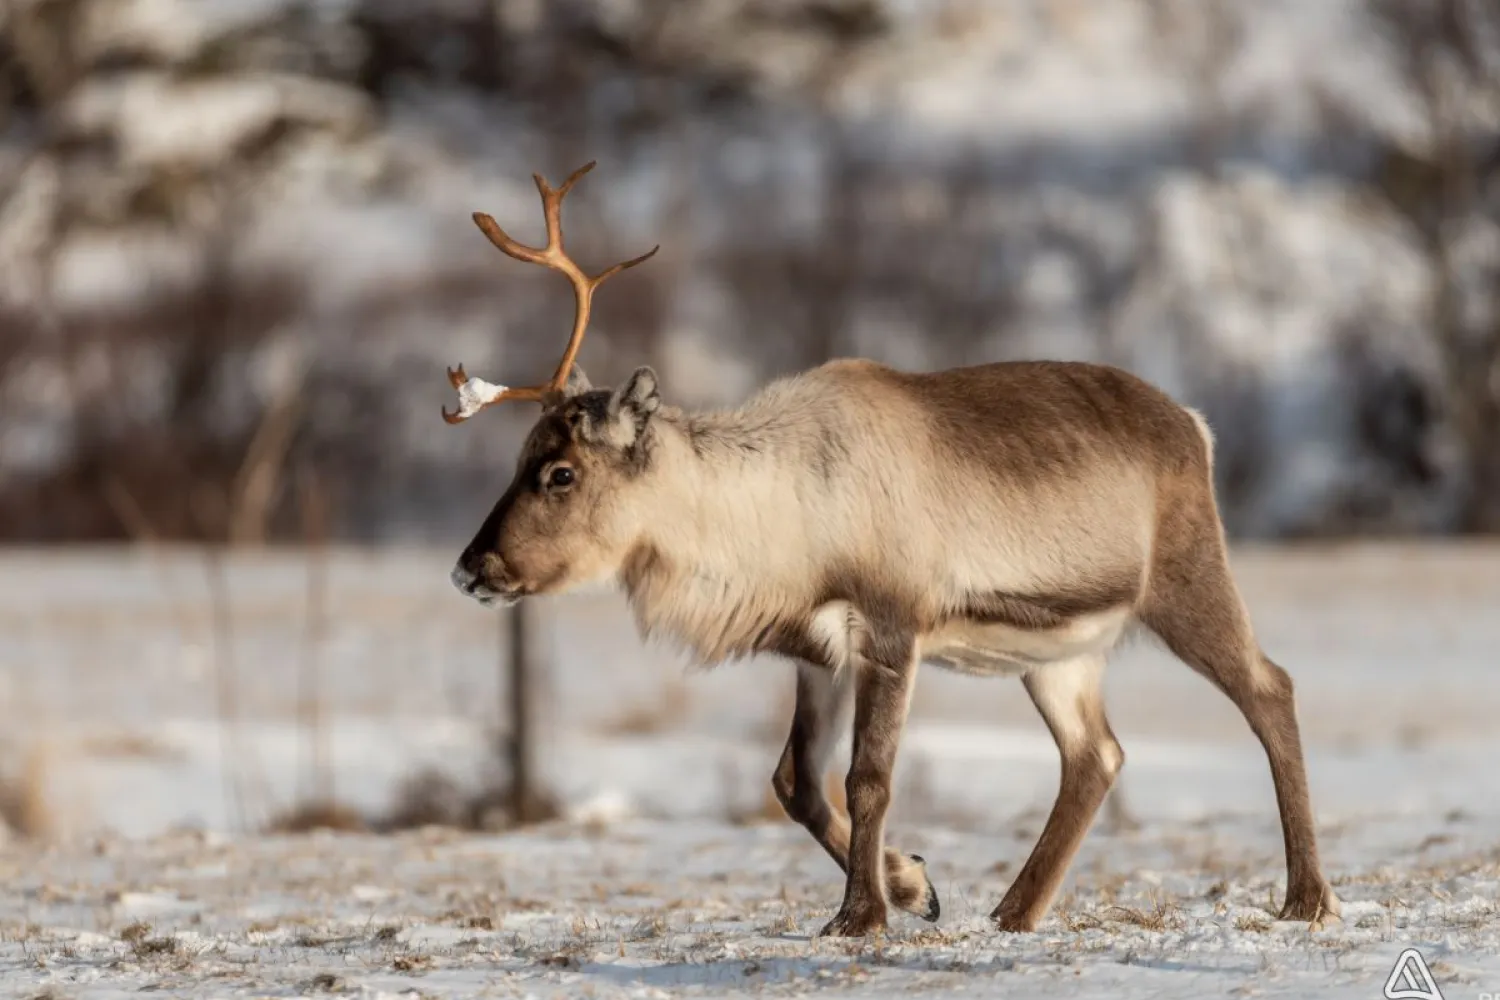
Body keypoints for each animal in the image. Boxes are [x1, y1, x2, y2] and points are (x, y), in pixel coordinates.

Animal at [443, 161, 1341, 938]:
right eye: (522, 457)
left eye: (560, 471)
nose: (470, 568)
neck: (771, 519)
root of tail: (1195, 424)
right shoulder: (815, 650)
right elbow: (796, 783)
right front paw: (915, 886)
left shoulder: (892, 623)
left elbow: (867, 776)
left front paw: (861, 915)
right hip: (1059, 652)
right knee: (1096, 753)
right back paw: (1013, 913)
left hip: (1188, 579)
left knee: (1271, 689)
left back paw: (1306, 897)